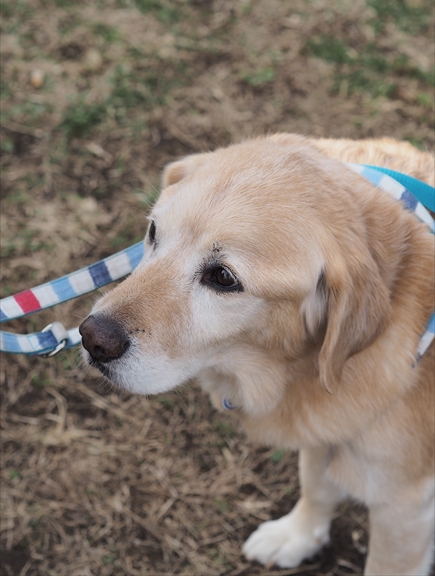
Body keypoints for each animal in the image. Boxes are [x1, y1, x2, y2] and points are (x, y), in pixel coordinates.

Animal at [80, 136, 434, 576]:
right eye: (153, 232)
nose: (92, 338)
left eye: (223, 277)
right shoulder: (322, 432)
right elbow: (315, 485)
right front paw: (298, 536)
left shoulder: (404, 506)